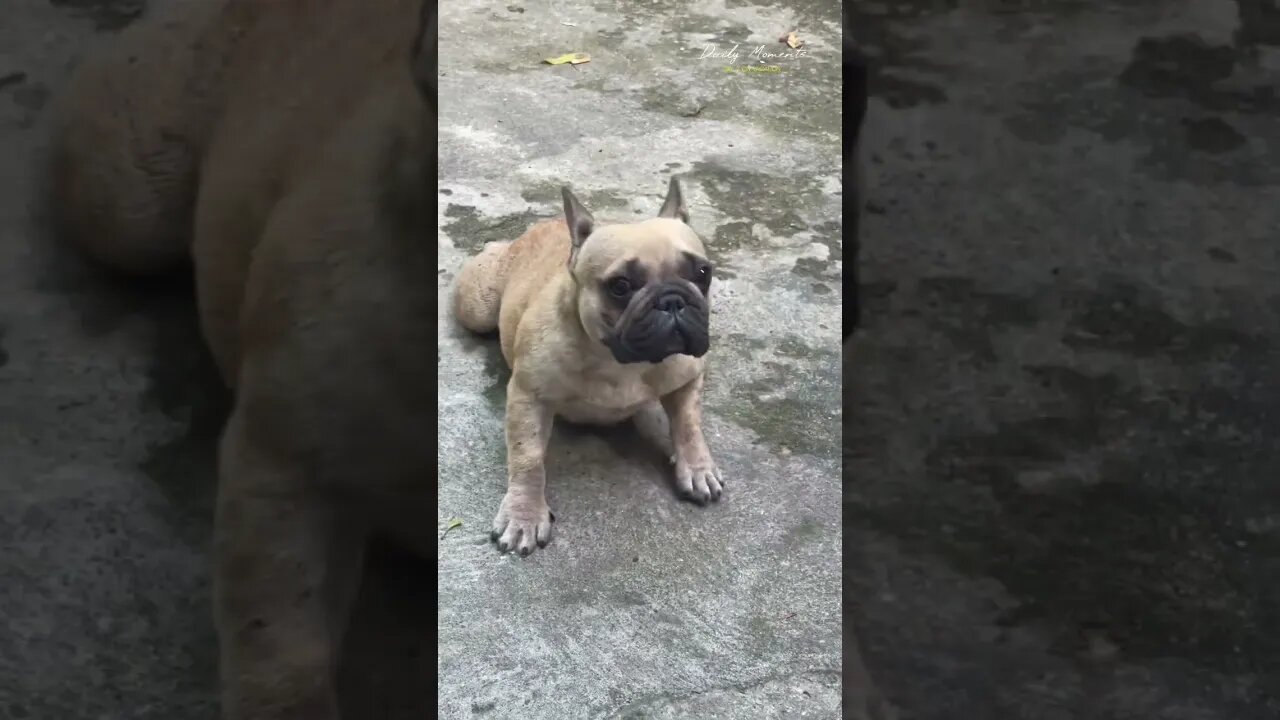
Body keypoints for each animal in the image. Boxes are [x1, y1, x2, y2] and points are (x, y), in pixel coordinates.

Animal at [455, 179, 727, 556]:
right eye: (620, 286)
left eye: (703, 273)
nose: (672, 299)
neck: (621, 362)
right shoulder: (529, 396)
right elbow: (528, 459)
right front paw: (524, 514)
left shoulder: (687, 378)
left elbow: (688, 425)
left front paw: (698, 468)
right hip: (477, 308)